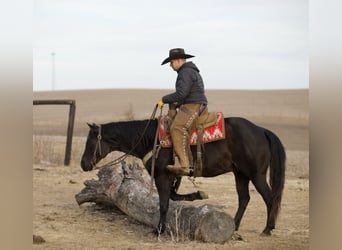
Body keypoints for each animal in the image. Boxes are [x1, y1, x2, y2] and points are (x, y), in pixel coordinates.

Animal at [81, 116, 286, 235]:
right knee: (244, 199)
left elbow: (164, 203)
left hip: (256, 174)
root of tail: (262, 130)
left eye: (91, 141)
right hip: (240, 174)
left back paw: (268, 229)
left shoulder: (162, 176)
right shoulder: (172, 176)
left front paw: (159, 229)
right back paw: (234, 226)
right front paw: (199, 194)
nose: (83, 164)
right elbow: (173, 196)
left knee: (270, 198)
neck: (152, 139)